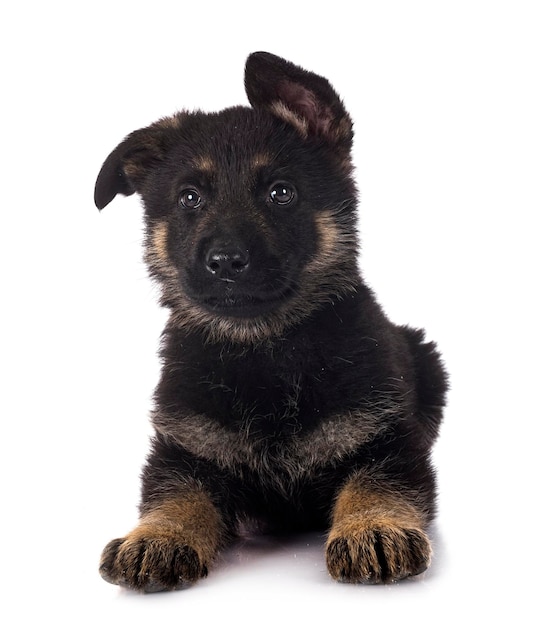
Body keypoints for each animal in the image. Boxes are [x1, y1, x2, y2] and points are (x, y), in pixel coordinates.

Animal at [95, 50, 448, 588]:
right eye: (189, 197)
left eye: (281, 192)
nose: (224, 262)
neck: (263, 348)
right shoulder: (184, 448)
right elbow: (175, 494)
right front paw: (156, 537)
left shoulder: (387, 440)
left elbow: (377, 482)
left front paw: (373, 528)